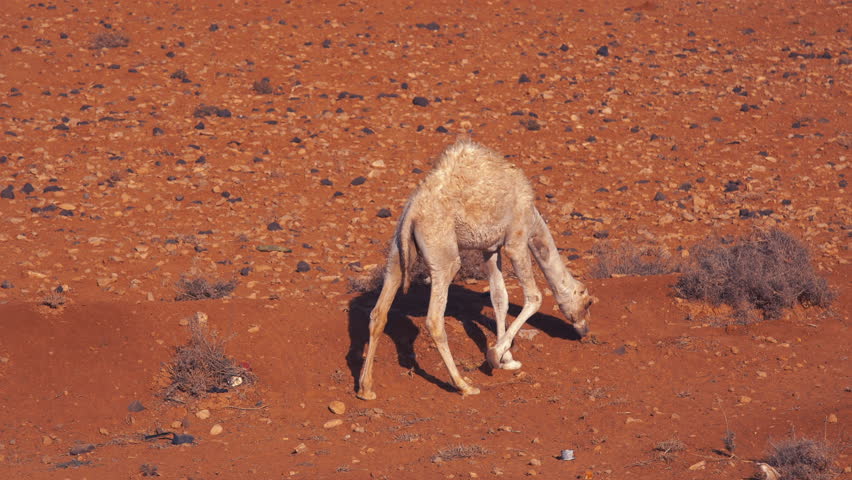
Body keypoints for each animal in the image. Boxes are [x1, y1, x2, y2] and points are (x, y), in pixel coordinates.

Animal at [357, 140, 596, 400]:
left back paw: (365, 389)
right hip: (443, 253)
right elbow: (534, 297)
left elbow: (499, 298)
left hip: (397, 251)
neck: (535, 220)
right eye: (587, 303)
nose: (584, 331)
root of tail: (412, 212)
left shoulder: (490, 248)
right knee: (434, 319)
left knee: (379, 312)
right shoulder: (516, 239)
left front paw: (507, 359)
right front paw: (495, 356)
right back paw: (464, 385)